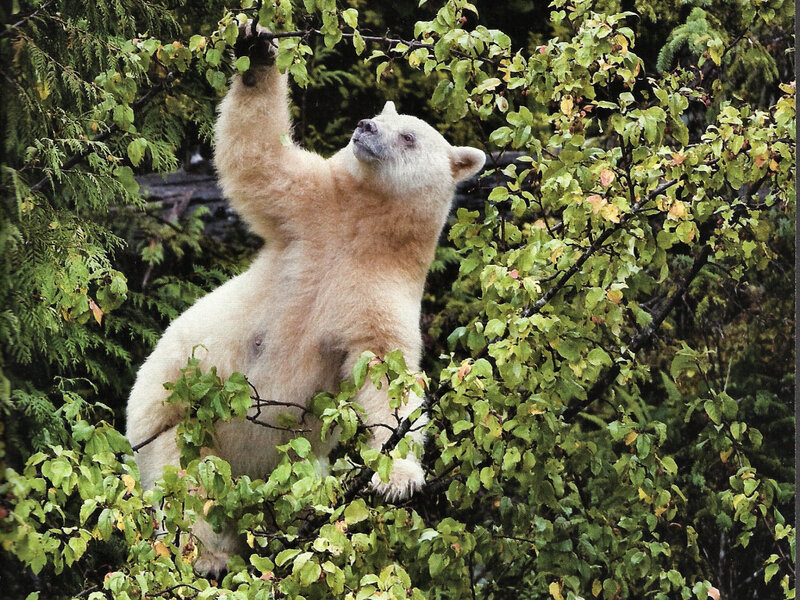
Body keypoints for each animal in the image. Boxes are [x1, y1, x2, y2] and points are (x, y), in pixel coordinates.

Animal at [125, 23, 485, 576]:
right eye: (382, 115)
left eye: (408, 134)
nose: (364, 126)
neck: (360, 227)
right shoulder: (308, 212)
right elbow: (259, 160)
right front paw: (256, 49)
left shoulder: (382, 290)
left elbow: (386, 373)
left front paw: (398, 478)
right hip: (168, 417)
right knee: (185, 483)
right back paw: (208, 556)